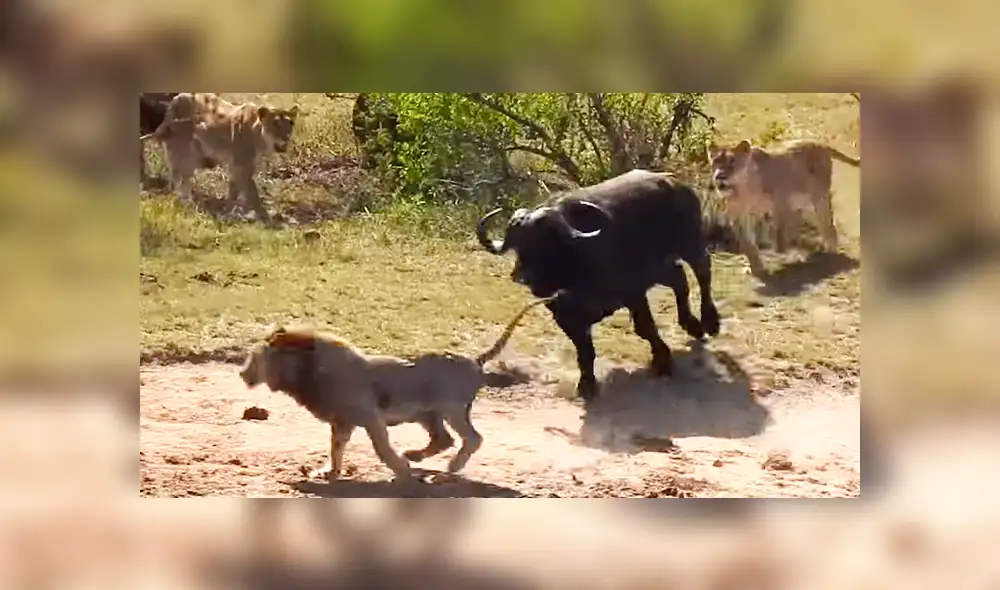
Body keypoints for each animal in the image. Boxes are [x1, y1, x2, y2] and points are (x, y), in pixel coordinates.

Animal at [140, 93, 299, 224]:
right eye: (275, 123)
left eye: (290, 123)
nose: (286, 137)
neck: (258, 134)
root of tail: (170, 109)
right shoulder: (243, 165)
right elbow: (253, 193)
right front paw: (267, 218)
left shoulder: (237, 166)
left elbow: (234, 190)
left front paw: (228, 211)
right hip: (185, 154)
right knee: (177, 181)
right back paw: (185, 203)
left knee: (177, 179)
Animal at [238, 294, 556, 482]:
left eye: (253, 357)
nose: (241, 373)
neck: (305, 370)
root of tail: (475, 360)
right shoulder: (341, 422)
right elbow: (336, 449)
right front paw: (329, 472)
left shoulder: (369, 417)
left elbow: (381, 448)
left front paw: (401, 471)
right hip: (427, 414)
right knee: (444, 439)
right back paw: (416, 457)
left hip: (450, 408)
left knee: (472, 438)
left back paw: (447, 471)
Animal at [707, 138, 860, 277]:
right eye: (715, 161)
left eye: (732, 161)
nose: (720, 176)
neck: (742, 190)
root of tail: (820, 144)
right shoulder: (738, 216)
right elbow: (748, 244)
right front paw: (756, 268)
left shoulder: (781, 201)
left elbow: (779, 232)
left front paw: (779, 250)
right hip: (805, 203)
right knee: (806, 220)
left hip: (818, 199)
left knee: (828, 225)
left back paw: (829, 251)